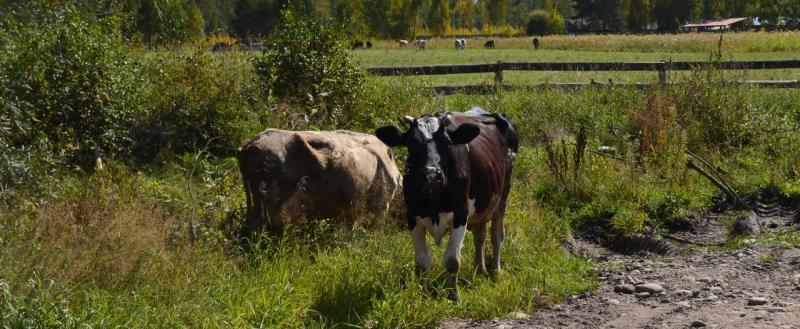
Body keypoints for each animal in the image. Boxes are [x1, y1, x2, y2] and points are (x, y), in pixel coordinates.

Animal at [376, 107, 520, 300]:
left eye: (446, 143)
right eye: (412, 144)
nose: (431, 174)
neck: (434, 200)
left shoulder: (460, 214)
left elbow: (452, 260)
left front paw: (454, 296)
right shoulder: (412, 216)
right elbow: (422, 262)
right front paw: (424, 295)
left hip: (503, 193)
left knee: (496, 234)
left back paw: (495, 271)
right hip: (482, 204)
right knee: (480, 235)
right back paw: (479, 270)